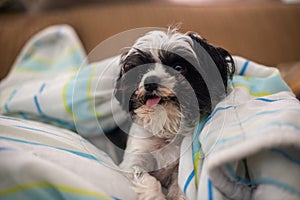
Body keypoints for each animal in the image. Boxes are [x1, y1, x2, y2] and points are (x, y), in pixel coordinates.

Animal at [113, 28, 236, 200]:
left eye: (178, 67)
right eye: (141, 72)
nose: (149, 81)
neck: (166, 131)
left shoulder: (181, 167)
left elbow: (179, 186)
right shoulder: (132, 161)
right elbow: (146, 178)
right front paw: (156, 195)